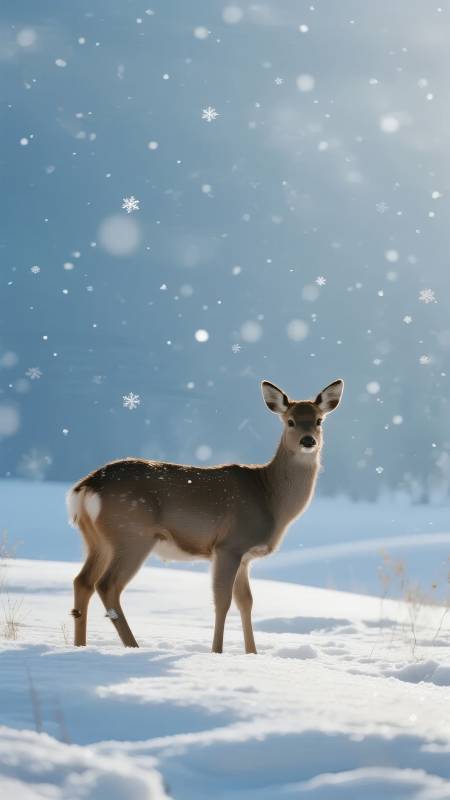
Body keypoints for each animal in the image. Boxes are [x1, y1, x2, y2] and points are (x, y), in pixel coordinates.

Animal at [67, 378, 343, 654]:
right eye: (290, 421)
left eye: (319, 420)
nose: (308, 441)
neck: (270, 497)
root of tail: (84, 488)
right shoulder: (229, 545)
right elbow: (223, 600)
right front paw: (217, 652)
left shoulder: (245, 557)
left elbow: (246, 602)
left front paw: (252, 653)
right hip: (132, 534)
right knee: (107, 585)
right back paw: (133, 646)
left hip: (96, 540)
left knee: (83, 581)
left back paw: (80, 646)